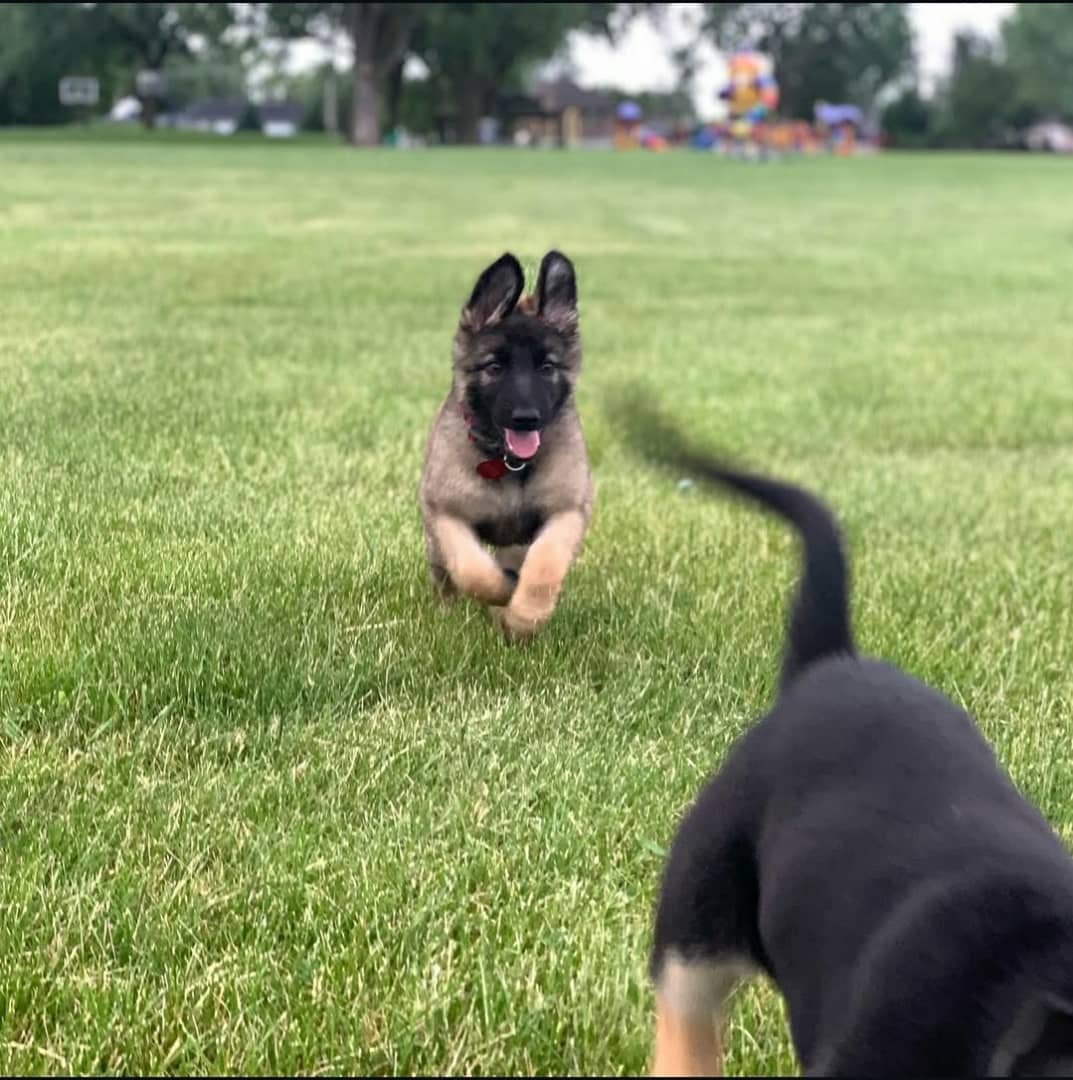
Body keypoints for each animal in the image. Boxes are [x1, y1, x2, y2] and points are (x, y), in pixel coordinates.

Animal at [419, 251, 592, 641]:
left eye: (547, 367)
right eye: (495, 366)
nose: (526, 418)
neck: (509, 462)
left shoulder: (567, 511)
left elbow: (544, 566)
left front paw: (524, 617)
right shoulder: (448, 514)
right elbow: (472, 570)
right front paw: (502, 592)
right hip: (433, 538)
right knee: (445, 578)